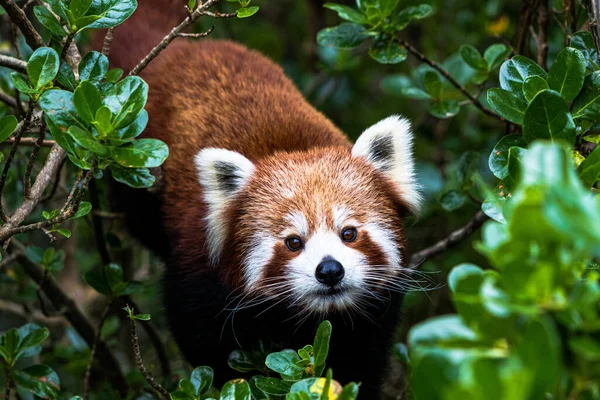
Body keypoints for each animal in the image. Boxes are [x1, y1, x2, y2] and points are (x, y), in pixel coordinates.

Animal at [95, 0, 422, 396]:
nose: (330, 270)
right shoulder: (200, 269)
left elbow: (360, 355)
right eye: (293, 242)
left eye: (349, 233)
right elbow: (205, 342)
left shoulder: (375, 310)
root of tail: (180, 49)